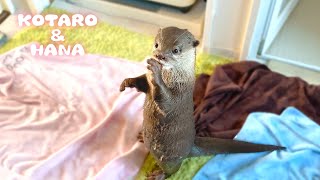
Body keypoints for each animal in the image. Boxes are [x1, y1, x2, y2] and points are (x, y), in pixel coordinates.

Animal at [119, 26, 284, 179]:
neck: (175, 78)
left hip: (170, 157)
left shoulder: (180, 94)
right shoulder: (147, 83)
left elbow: (167, 102)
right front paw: (127, 82)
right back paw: (142, 136)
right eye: (156, 44)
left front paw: (156, 73)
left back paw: (158, 174)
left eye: (176, 50)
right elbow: (142, 81)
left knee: (173, 170)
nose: (159, 55)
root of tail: (190, 146)